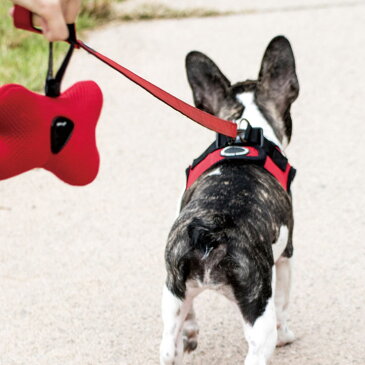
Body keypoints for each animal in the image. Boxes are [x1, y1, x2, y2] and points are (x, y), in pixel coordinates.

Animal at [159, 34, 298, 364]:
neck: (244, 131)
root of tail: (210, 230)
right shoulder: (286, 256)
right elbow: (284, 304)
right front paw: (287, 335)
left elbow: (187, 317)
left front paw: (191, 331)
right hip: (259, 313)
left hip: (171, 290)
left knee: (168, 343)